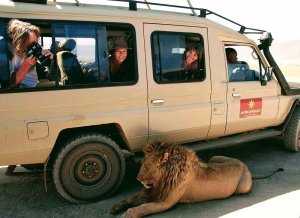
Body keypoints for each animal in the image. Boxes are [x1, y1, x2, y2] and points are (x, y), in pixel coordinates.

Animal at [110, 141, 253, 217]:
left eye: (145, 167)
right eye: (142, 165)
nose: (138, 179)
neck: (162, 180)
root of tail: (243, 164)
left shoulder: (166, 202)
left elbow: (144, 207)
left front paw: (127, 214)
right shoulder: (150, 191)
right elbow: (130, 198)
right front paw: (116, 207)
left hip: (243, 187)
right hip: (214, 158)